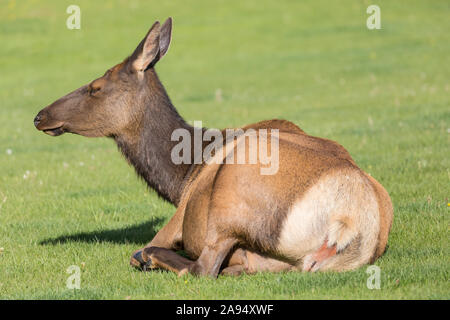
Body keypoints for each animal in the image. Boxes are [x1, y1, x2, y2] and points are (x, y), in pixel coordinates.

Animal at [34, 18, 394, 278]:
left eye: (96, 87)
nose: (41, 115)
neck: (184, 173)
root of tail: (348, 221)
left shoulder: (179, 216)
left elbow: (143, 249)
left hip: (229, 198)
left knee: (200, 268)